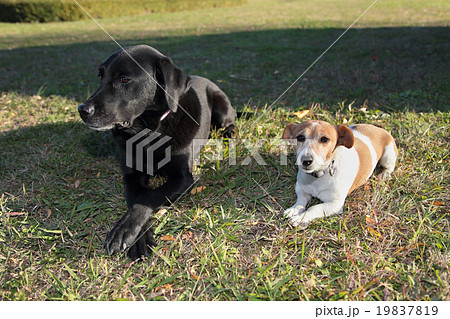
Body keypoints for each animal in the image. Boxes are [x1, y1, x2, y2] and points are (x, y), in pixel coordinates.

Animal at [78, 44, 236, 260]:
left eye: (124, 79)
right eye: (100, 76)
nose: (82, 110)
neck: (148, 131)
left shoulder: (183, 178)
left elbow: (148, 197)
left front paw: (123, 231)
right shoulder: (132, 176)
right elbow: (136, 199)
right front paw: (138, 238)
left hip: (221, 105)